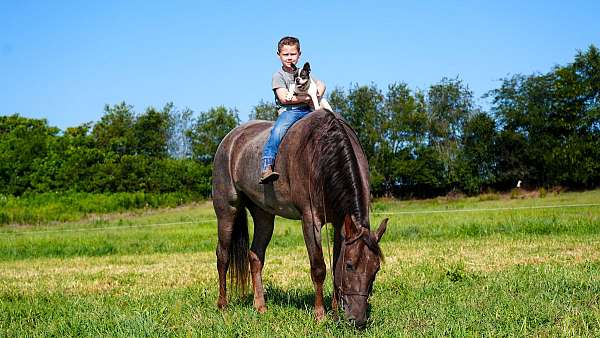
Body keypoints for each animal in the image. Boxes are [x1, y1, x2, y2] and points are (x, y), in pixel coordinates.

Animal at [213, 108, 386, 328]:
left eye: (376, 269)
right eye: (350, 266)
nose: (358, 320)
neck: (324, 154)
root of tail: (230, 140)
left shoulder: (341, 223)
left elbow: (334, 266)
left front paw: (335, 312)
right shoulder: (310, 220)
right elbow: (319, 267)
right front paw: (320, 314)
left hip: (264, 215)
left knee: (255, 256)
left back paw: (260, 306)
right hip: (227, 209)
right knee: (223, 256)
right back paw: (223, 306)